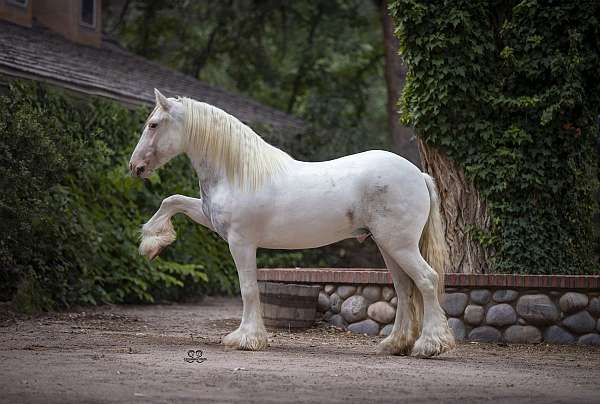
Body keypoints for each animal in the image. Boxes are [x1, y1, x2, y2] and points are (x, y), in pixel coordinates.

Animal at [127, 88, 454, 356]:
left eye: (153, 125)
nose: (135, 167)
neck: (238, 172)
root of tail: (418, 175)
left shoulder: (241, 242)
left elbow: (248, 288)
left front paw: (246, 338)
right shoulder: (210, 219)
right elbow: (172, 201)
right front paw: (153, 244)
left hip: (399, 245)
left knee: (427, 280)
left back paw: (430, 345)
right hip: (388, 246)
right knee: (404, 288)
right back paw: (395, 344)